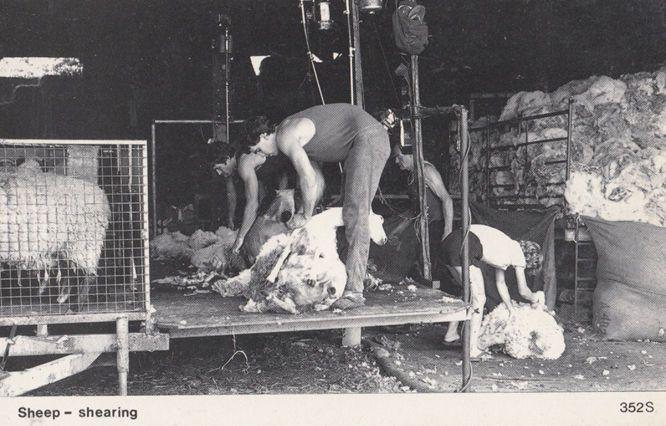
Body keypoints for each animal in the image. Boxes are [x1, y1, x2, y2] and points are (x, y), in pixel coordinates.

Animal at [0, 156, 111, 310]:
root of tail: (102, 197)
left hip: (84, 241)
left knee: (89, 274)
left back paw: (76, 306)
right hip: (65, 247)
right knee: (71, 272)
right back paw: (62, 298)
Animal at [213, 208, 386, 314]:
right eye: (376, 222)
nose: (384, 240)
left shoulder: (320, 249)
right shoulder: (295, 242)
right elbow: (283, 257)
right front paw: (270, 277)